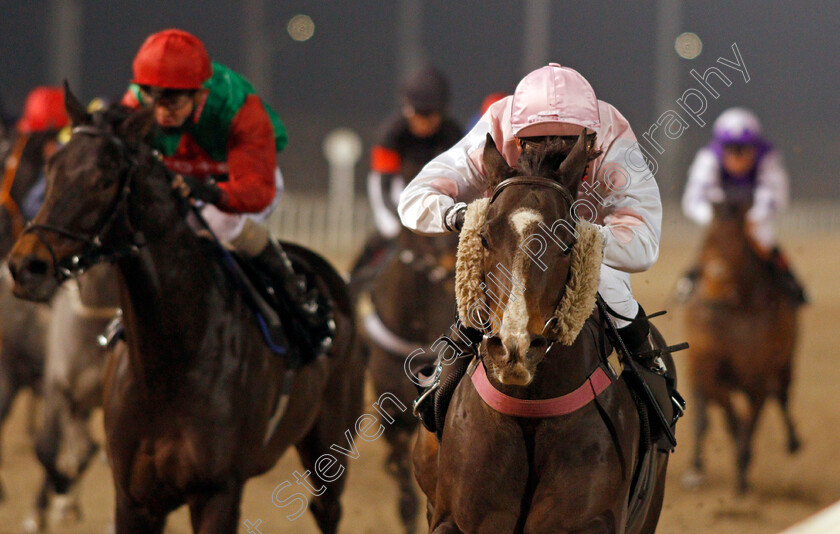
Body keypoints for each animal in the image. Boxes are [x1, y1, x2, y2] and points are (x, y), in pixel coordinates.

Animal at [7, 94, 364, 532]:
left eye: (104, 180)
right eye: (52, 168)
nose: (26, 266)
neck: (172, 360)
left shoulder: (218, 493)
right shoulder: (132, 498)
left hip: (331, 445)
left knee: (327, 508)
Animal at [410, 133, 672, 532]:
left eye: (567, 242)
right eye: (484, 237)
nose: (514, 348)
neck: (529, 410)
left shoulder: (588, 519)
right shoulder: (453, 519)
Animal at [684, 201, 800, 494]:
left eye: (736, 245)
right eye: (707, 242)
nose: (712, 297)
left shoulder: (759, 378)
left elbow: (751, 422)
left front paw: (742, 476)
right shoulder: (710, 371)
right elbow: (729, 418)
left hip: (786, 363)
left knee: (783, 396)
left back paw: (793, 441)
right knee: (702, 415)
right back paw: (695, 468)